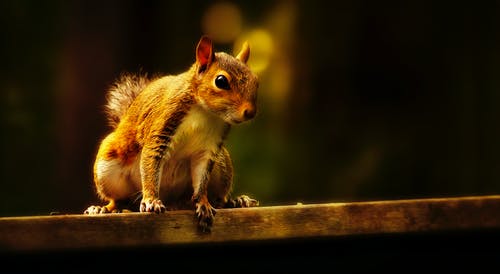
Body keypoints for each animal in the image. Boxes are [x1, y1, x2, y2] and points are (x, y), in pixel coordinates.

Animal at [82, 34, 260, 231]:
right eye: (221, 81)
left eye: (256, 81)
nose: (250, 112)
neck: (205, 111)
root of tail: (173, 202)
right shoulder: (163, 124)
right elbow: (151, 161)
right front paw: (151, 201)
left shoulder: (208, 148)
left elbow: (201, 178)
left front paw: (203, 203)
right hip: (107, 167)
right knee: (118, 200)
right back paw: (102, 209)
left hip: (222, 166)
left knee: (219, 199)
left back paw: (236, 201)